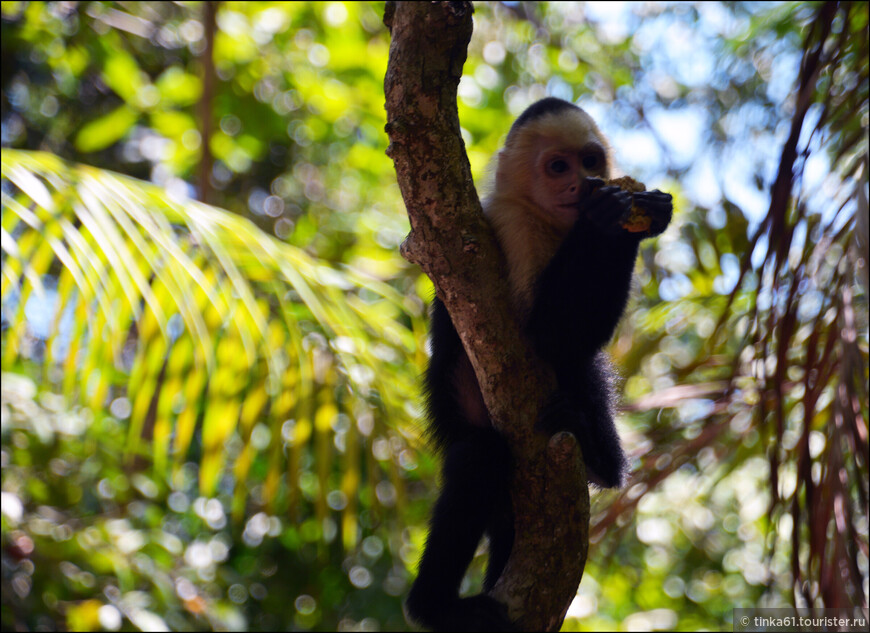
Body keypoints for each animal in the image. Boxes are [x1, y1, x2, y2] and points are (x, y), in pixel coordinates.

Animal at [408, 96, 676, 628]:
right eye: (557, 168)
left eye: (590, 160)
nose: (580, 184)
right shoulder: (512, 224)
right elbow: (545, 337)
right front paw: (606, 218)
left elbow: (573, 348)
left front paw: (645, 216)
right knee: (479, 455)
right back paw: (431, 607)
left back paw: (599, 460)